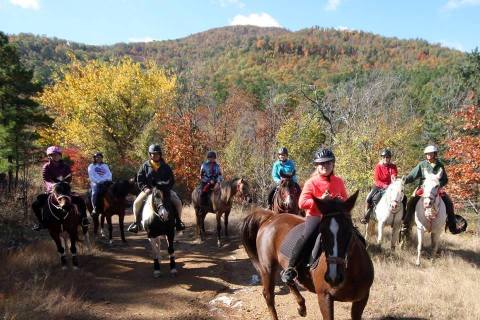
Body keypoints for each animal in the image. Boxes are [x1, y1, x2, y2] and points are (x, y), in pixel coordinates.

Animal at [242, 192, 374, 320]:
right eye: (322, 231)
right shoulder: (324, 297)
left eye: (348, 230)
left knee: (286, 277)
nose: (333, 277)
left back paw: (301, 306)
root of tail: (271, 217)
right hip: (267, 268)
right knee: (268, 295)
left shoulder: (362, 299)